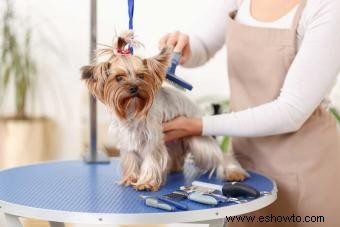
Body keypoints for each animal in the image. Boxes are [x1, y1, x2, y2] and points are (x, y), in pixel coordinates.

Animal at [81, 31, 248, 191]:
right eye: (119, 78)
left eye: (141, 75)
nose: (134, 88)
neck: (132, 108)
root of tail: (196, 107)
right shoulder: (127, 138)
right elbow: (131, 159)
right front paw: (130, 178)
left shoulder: (153, 138)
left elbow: (150, 159)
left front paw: (146, 183)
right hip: (174, 141)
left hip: (199, 142)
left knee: (221, 156)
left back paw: (234, 173)